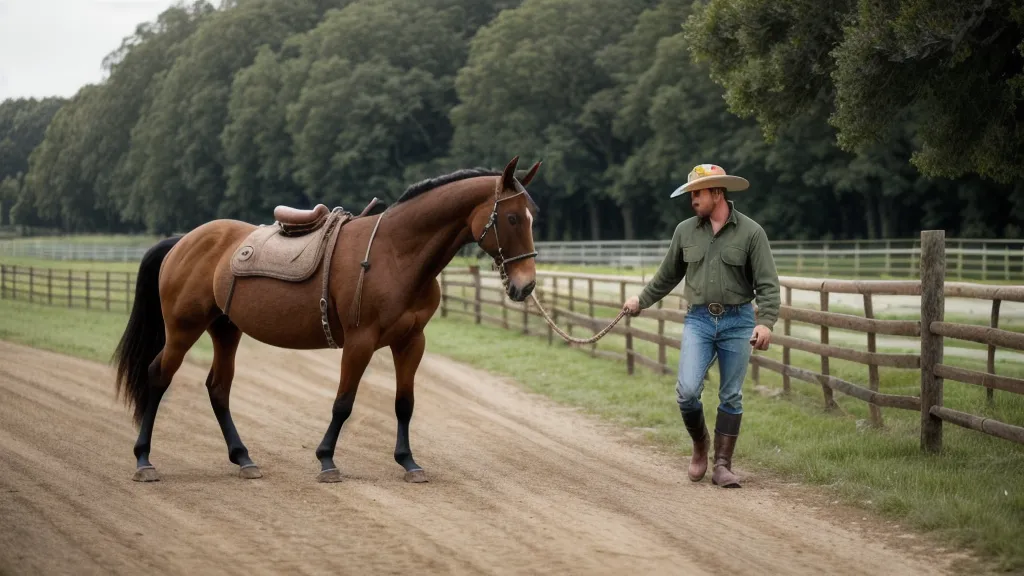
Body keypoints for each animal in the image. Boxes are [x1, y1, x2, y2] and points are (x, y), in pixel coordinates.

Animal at [112, 156, 542, 484]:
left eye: (532, 217)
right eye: (512, 218)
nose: (526, 285)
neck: (395, 254)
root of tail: (183, 241)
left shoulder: (411, 342)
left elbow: (404, 403)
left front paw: (408, 462)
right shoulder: (360, 342)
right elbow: (343, 403)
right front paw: (326, 460)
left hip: (225, 329)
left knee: (218, 388)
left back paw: (243, 458)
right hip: (183, 329)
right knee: (158, 377)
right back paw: (144, 459)